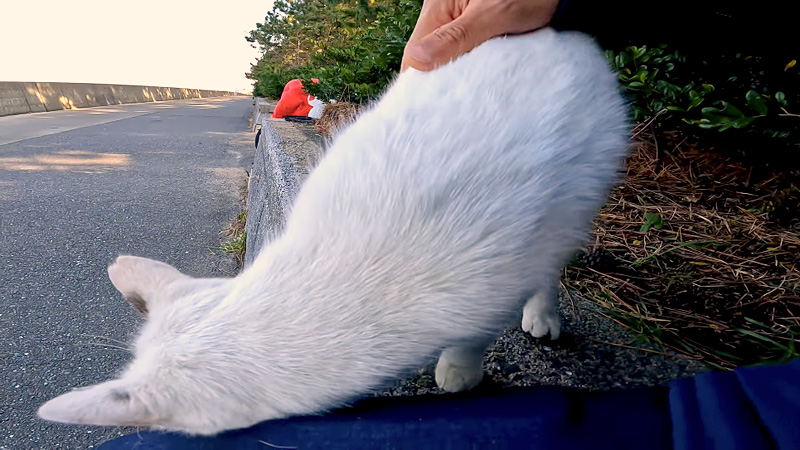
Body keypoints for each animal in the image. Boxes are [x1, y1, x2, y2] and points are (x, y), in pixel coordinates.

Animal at [39, 29, 632, 436]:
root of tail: (559, 35)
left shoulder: (492, 284)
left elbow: (474, 333)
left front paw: (460, 369)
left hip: (580, 190)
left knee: (553, 256)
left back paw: (543, 313)